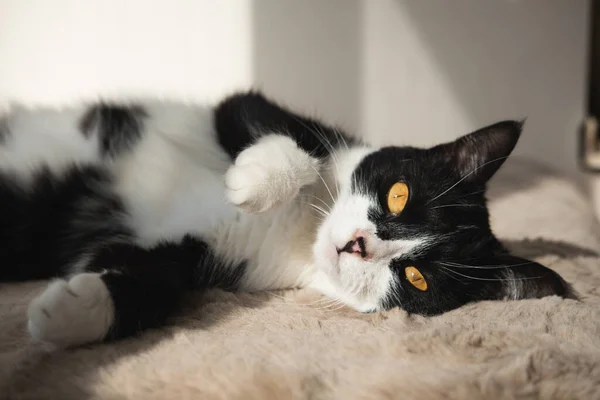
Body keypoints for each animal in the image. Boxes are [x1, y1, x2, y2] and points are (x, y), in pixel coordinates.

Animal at [0, 90, 576, 346]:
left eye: (416, 277)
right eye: (398, 195)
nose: (359, 244)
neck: (302, 232)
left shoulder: (198, 256)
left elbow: (157, 279)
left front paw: (68, 311)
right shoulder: (244, 108)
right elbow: (292, 138)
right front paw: (254, 179)